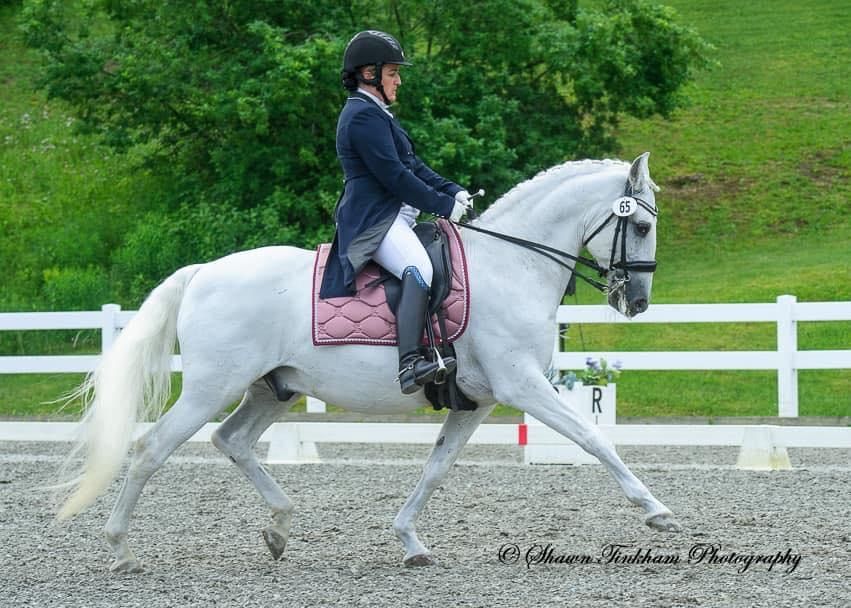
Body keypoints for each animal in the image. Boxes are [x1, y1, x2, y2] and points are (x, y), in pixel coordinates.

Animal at [56, 151, 684, 568]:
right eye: (641, 225)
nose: (637, 301)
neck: (513, 266)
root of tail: (203, 271)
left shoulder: (476, 402)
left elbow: (436, 468)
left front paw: (410, 541)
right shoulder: (524, 386)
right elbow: (594, 438)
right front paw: (657, 511)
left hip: (271, 388)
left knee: (230, 441)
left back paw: (280, 528)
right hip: (213, 387)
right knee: (149, 450)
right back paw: (120, 550)